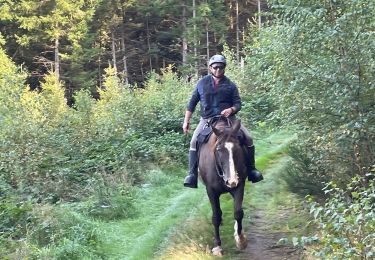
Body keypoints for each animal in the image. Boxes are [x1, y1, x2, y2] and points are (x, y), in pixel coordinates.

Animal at [198, 116, 248, 256]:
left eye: (238, 148)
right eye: (219, 150)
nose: (231, 181)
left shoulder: (239, 186)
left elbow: (238, 212)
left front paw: (240, 239)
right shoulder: (211, 191)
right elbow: (215, 217)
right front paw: (218, 246)